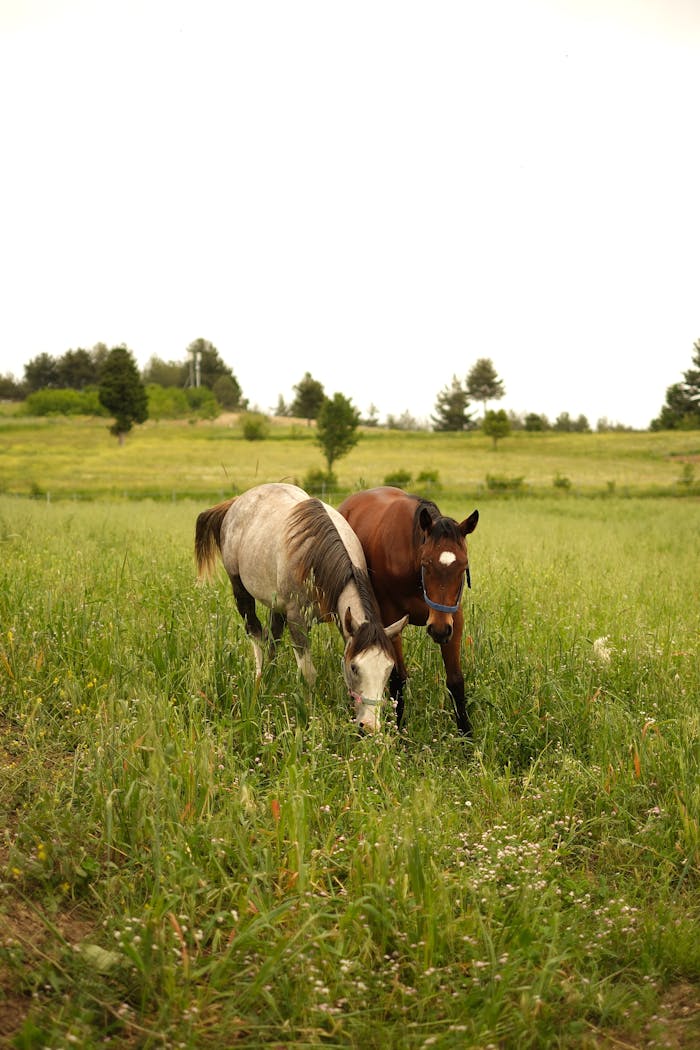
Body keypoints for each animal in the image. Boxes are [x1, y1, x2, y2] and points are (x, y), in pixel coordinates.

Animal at [195, 483, 407, 732]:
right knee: (255, 634)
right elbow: (308, 674)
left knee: (272, 640)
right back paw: (259, 680)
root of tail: (237, 502)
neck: (318, 558)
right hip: (241, 591)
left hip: (276, 606)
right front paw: (308, 715)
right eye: (355, 667)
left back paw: (271, 676)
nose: (370, 726)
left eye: (388, 668)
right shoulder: (297, 621)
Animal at [337, 486, 479, 735]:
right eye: (426, 563)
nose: (438, 630)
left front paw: (467, 736)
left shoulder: (454, 620)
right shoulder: (391, 620)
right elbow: (398, 678)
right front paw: (398, 729)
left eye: (463, 566)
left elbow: (455, 680)